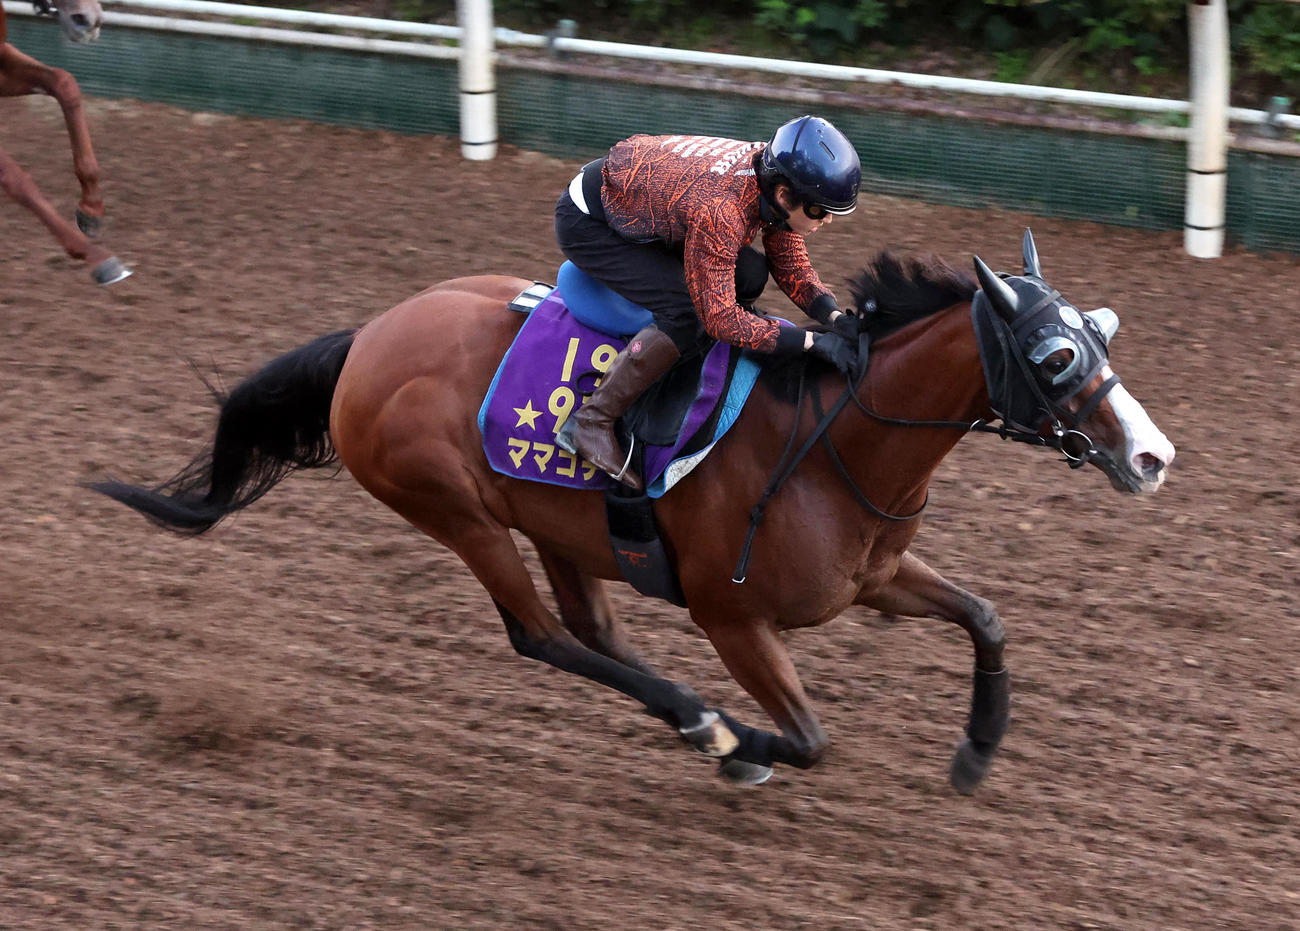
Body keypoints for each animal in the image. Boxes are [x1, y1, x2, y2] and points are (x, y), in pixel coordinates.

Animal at [91, 230, 1175, 792]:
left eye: (1101, 330)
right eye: (1057, 355)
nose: (1152, 456)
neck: (831, 441)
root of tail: (367, 340)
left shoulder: (872, 576)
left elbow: (985, 617)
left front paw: (979, 747)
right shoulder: (732, 615)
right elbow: (811, 737)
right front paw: (746, 742)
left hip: (555, 525)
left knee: (590, 630)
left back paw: (692, 719)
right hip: (457, 511)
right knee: (540, 636)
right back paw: (705, 724)